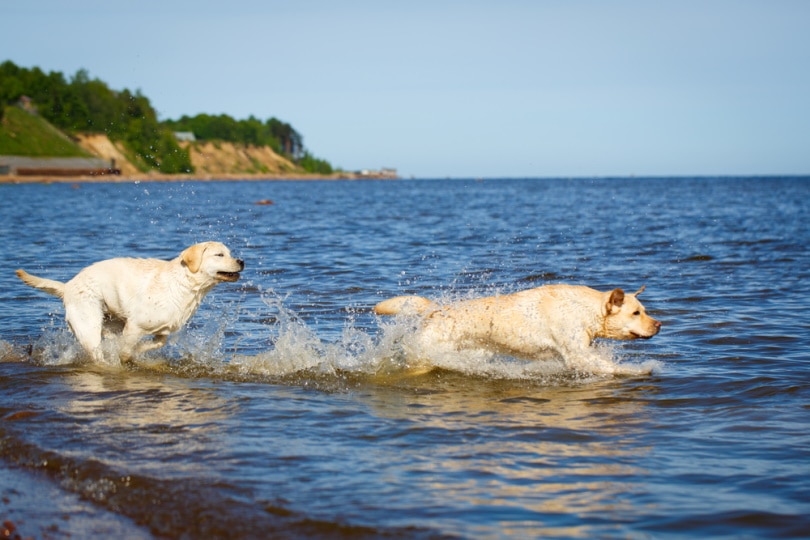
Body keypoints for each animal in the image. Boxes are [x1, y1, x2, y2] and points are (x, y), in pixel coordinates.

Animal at [16, 244, 243, 362]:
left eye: (231, 253)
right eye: (219, 254)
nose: (242, 261)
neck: (184, 284)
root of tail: (68, 286)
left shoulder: (162, 330)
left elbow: (158, 342)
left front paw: (138, 352)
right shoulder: (135, 325)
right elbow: (125, 351)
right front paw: (126, 356)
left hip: (111, 321)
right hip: (88, 326)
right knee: (98, 354)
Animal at [376, 284, 660, 374]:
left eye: (644, 310)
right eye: (636, 313)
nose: (659, 324)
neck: (586, 310)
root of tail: (437, 308)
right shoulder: (578, 356)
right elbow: (612, 368)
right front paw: (637, 371)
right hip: (425, 355)